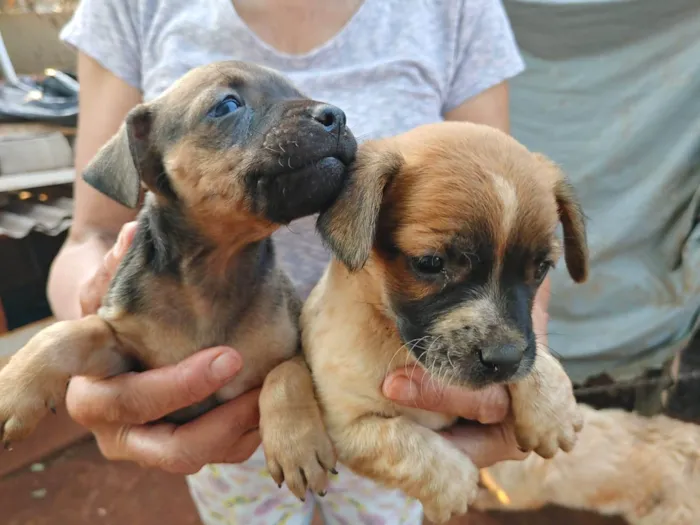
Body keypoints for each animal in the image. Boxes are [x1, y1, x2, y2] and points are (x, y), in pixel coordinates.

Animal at [0, 58, 356, 450]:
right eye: (226, 106)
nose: (336, 115)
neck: (214, 269)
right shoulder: (126, 356)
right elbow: (73, 332)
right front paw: (17, 387)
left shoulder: (292, 345)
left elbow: (285, 373)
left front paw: (296, 443)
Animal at [262, 122, 592, 520]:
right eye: (431, 263)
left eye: (541, 268)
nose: (504, 361)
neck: (394, 339)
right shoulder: (348, 424)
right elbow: (408, 446)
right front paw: (456, 489)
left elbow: (535, 353)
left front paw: (552, 411)